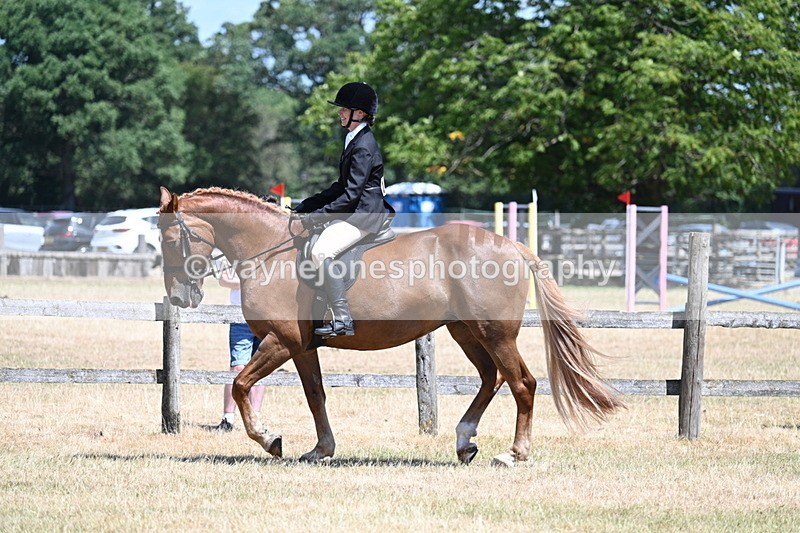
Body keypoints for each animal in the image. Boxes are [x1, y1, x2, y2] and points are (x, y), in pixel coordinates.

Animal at [158, 186, 623, 466]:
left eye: (170, 239)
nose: (180, 298)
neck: (271, 252)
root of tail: (511, 245)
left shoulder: (282, 341)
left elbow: (240, 385)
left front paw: (270, 439)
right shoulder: (302, 347)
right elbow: (315, 396)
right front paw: (320, 449)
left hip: (494, 332)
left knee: (522, 383)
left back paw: (513, 454)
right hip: (465, 331)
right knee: (491, 378)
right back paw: (464, 441)